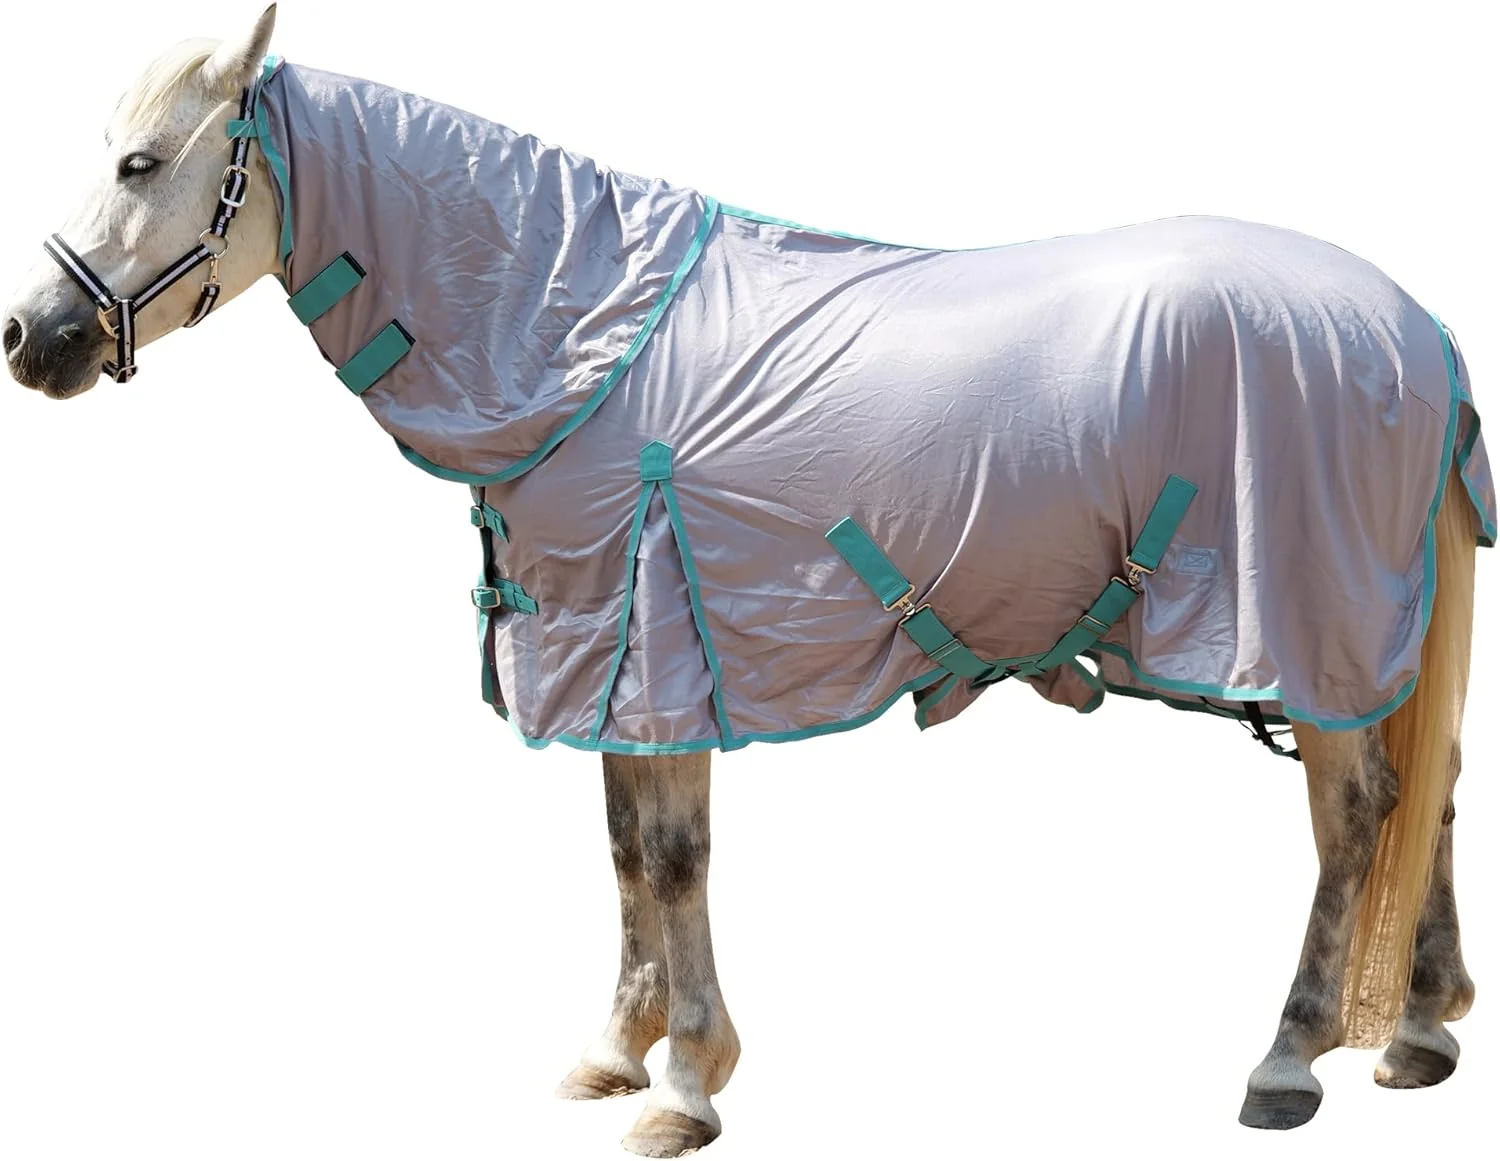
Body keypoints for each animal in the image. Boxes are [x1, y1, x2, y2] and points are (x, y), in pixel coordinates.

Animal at [4, 7, 1492, 1155]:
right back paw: (1416, 1033)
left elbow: (673, 856)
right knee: (1428, 794)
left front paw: (685, 1086)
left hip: (1307, 627)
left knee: (1357, 812)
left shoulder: (662, 639)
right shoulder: (609, 647)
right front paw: (615, 1050)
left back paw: (1290, 1059)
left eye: (141, 159)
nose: (33, 336)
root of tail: (1411, 327)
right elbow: (622, 851)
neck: (575, 337)